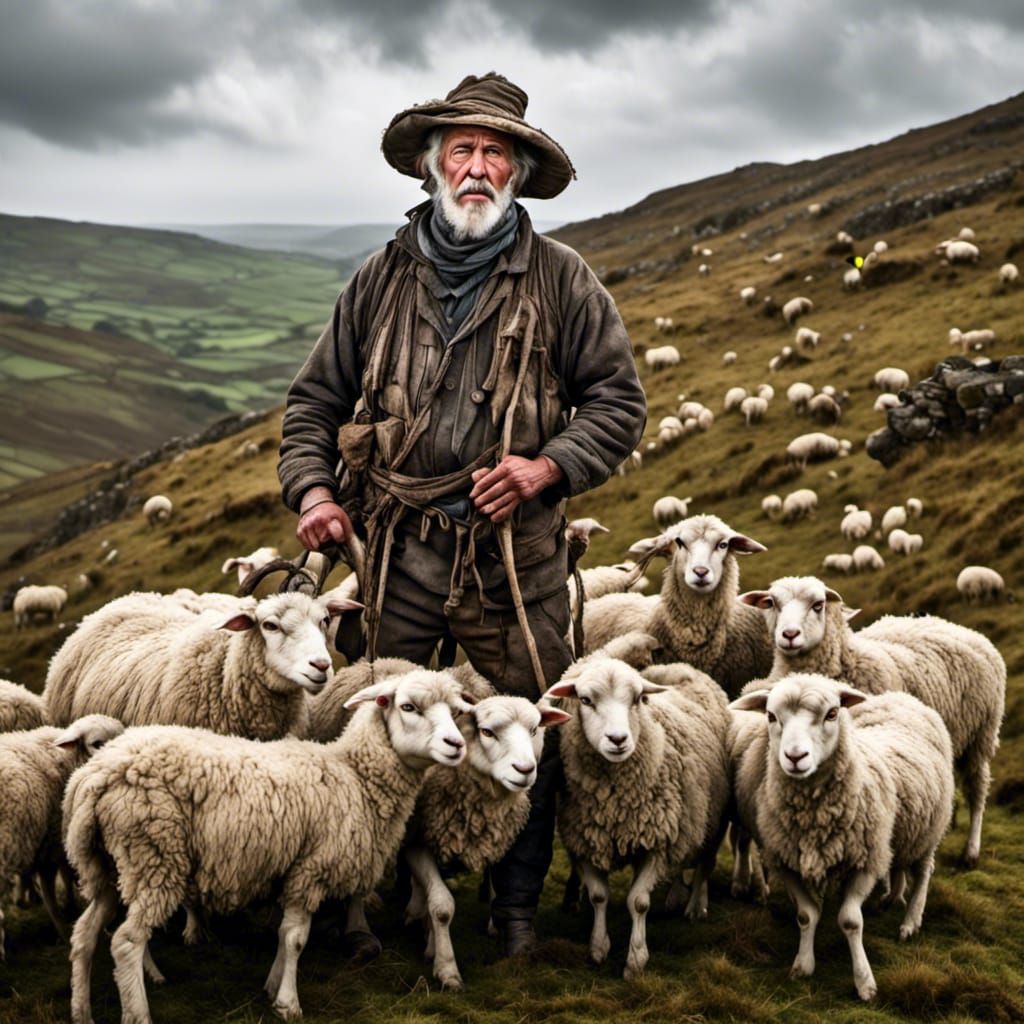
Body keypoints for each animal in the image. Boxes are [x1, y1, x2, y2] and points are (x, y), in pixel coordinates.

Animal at [64, 671, 474, 1024]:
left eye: (455, 712)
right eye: (408, 707)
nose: (457, 746)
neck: (355, 775)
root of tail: (96, 777)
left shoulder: (292, 870)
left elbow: (283, 935)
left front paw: (273, 987)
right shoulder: (310, 870)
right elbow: (295, 939)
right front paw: (288, 1004)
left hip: (106, 865)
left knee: (84, 934)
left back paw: (81, 1011)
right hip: (154, 856)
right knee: (126, 942)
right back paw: (138, 1013)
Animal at [545, 654, 730, 977]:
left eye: (637, 699)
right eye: (585, 700)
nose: (618, 739)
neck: (613, 799)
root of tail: (679, 668)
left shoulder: (658, 844)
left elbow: (639, 902)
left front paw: (636, 959)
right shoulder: (585, 842)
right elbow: (598, 896)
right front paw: (598, 947)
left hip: (712, 818)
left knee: (704, 864)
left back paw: (696, 905)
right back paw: (675, 896)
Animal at [731, 676, 954, 1001]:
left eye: (832, 714)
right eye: (771, 716)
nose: (795, 757)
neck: (815, 817)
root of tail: (901, 697)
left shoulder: (865, 861)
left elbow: (850, 921)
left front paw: (865, 982)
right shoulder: (787, 863)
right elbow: (806, 915)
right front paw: (803, 965)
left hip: (928, 828)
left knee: (924, 871)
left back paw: (911, 921)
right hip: (899, 832)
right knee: (897, 863)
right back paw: (891, 898)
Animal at [739, 576, 1005, 866]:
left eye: (818, 604)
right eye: (771, 603)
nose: (789, 635)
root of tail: (952, 624)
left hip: (981, 735)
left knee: (977, 789)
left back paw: (971, 850)